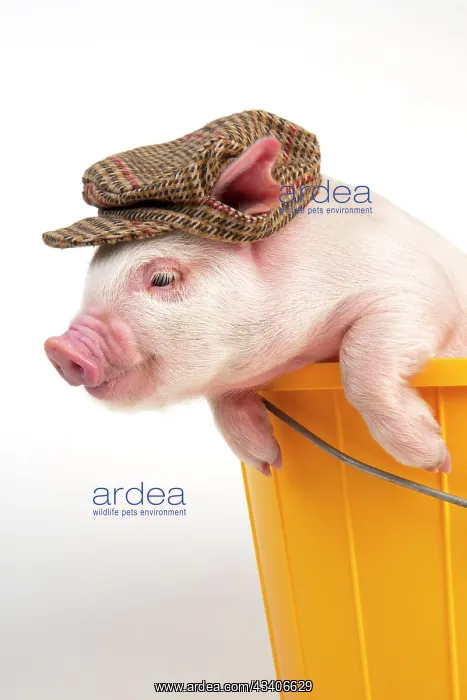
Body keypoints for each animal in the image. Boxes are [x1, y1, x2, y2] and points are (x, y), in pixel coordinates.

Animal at [44, 137, 467, 477]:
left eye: (162, 278)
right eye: (92, 271)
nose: (59, 347)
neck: (302, 350)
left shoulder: (415, 288)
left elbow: (361, 361)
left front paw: (436, 462)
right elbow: (224, 402)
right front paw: (268, 464)